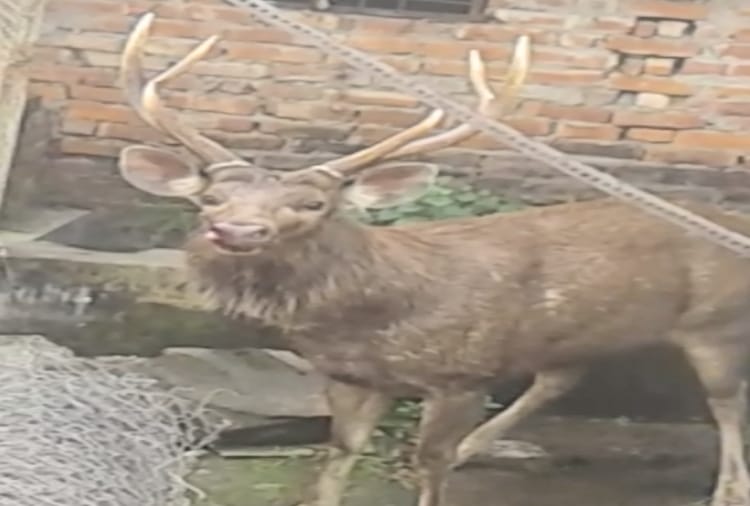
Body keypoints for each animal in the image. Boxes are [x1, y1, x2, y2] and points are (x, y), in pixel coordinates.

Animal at [117, 11, 750, 506]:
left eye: (312, 203)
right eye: (210, 199)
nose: (236, 230)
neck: (373, 320)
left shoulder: (461, 375)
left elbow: (431, 467)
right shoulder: (349, 377)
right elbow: (337, 458)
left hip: (716, 323)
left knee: (727, 405)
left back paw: (727, 490)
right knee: (563, 373)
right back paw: (479, 447)